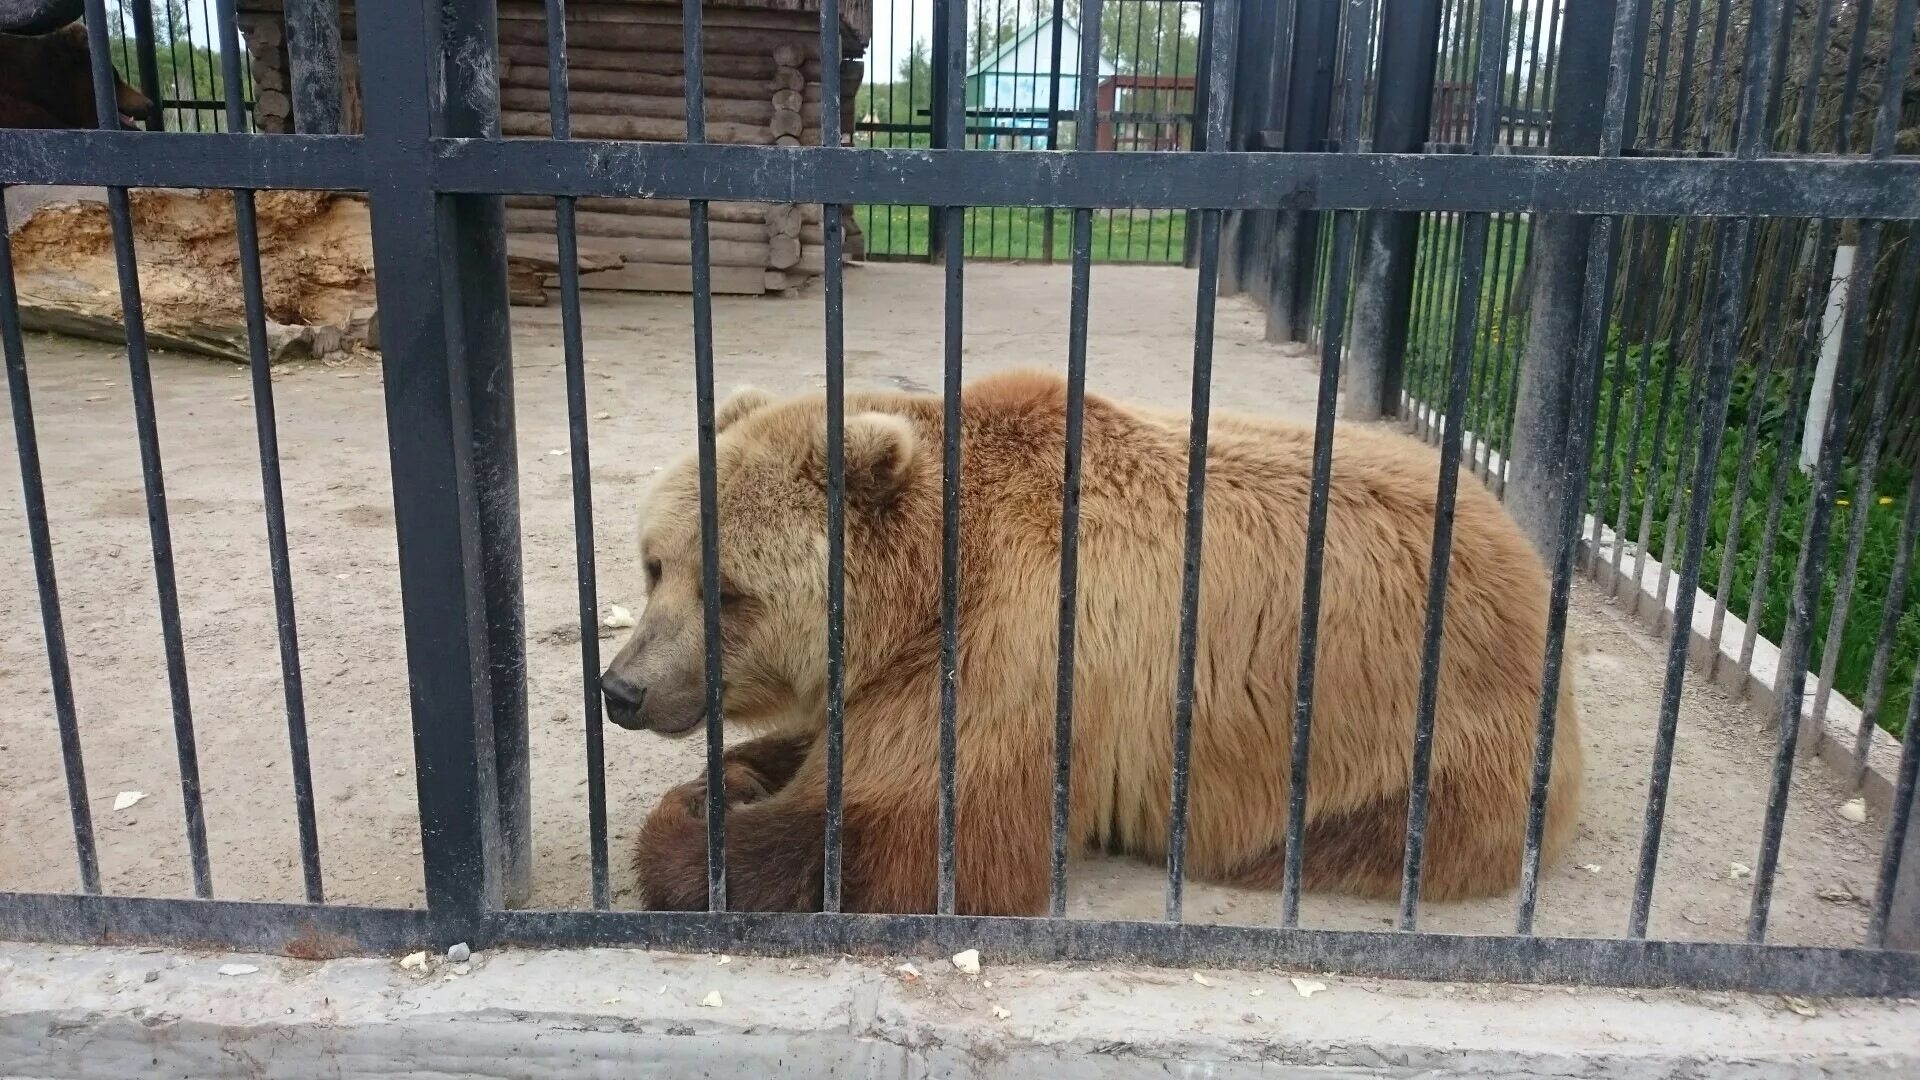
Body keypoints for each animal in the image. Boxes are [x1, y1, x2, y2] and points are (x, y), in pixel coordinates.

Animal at [606, 367, 1582, 907]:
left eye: (728, 591)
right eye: (656, 565)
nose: (623, 687)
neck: (928, 586)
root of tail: (1528, 558)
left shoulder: (1024, 647)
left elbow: (915, 826)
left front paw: (696, 823)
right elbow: (836, 747)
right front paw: (735, 774)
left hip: (1419, 729)